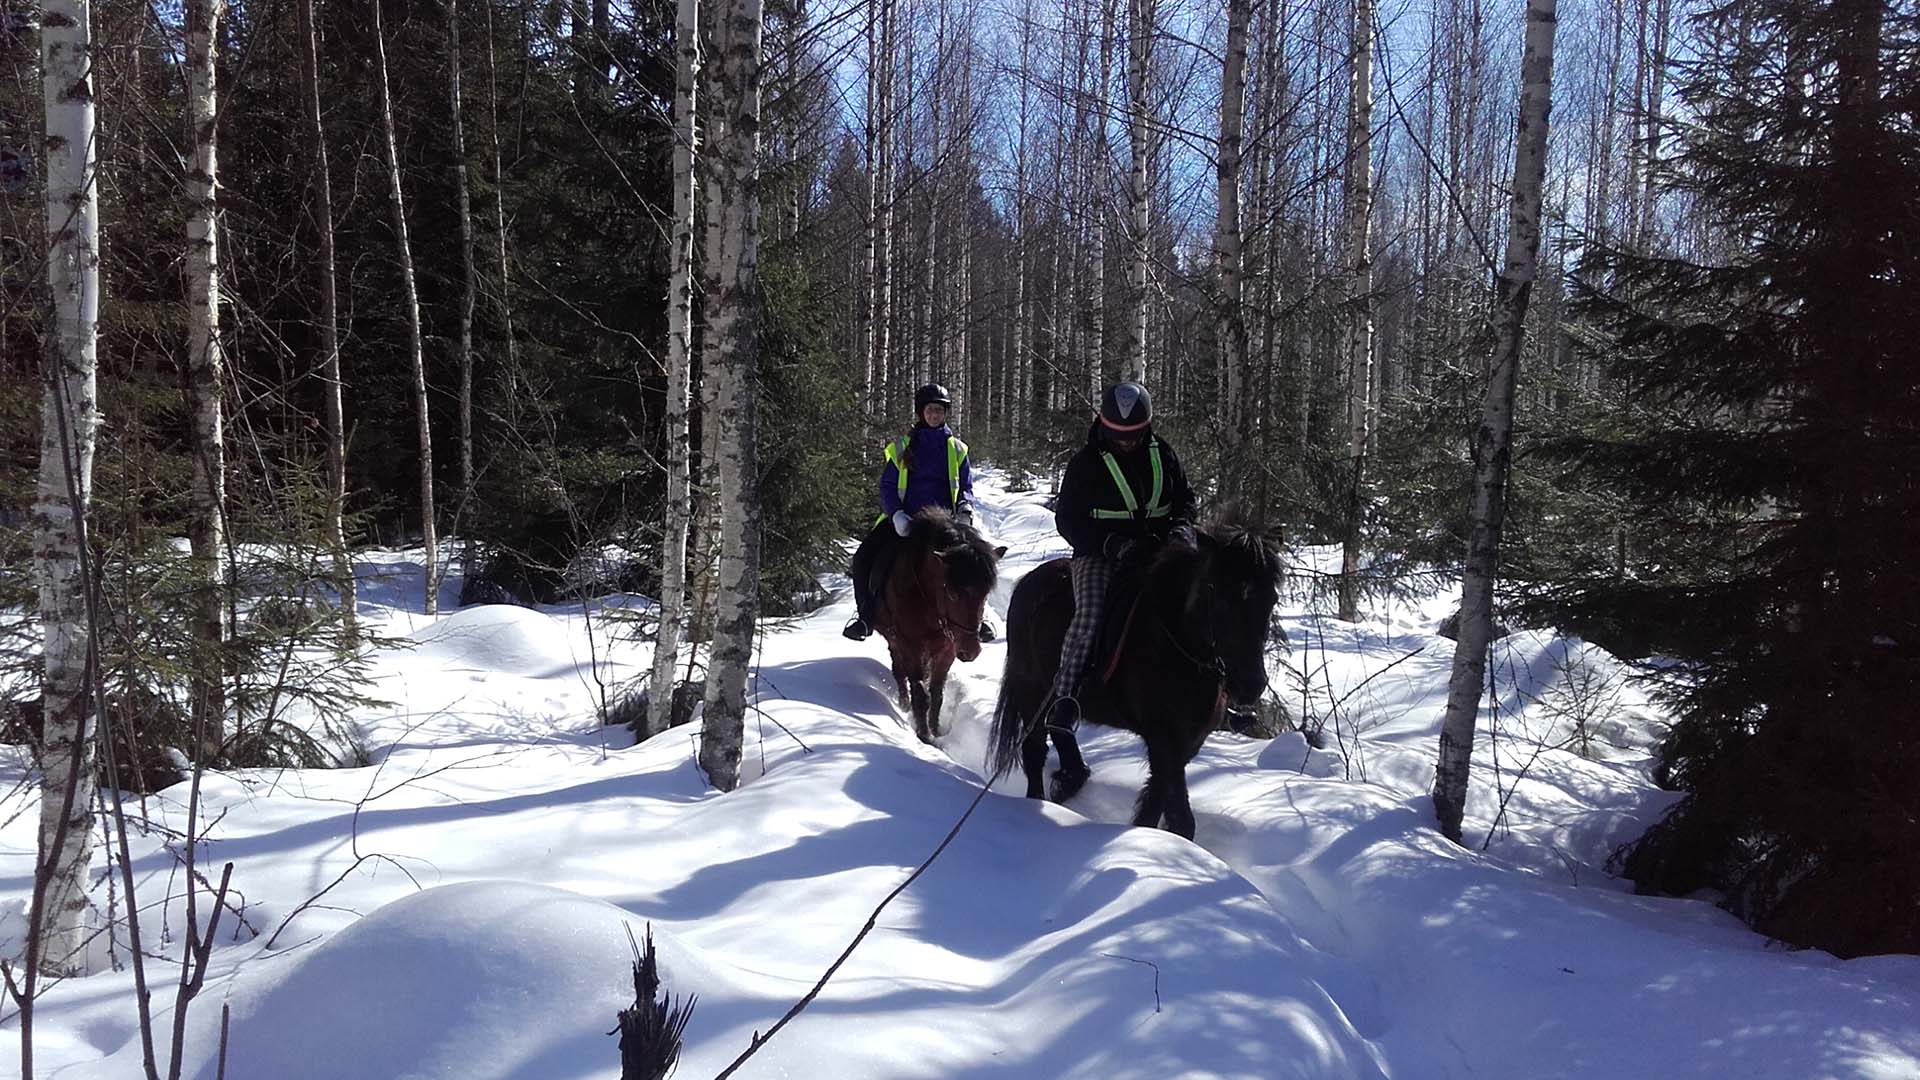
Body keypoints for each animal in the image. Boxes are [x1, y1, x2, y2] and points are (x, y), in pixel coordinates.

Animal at [870, 507, 1006, 744]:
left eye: (986, 593)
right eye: (952, 592)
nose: (970, 651)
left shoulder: (947, 649)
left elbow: (937, 693)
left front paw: (935, 730)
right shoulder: (910, 645)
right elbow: (921, 693)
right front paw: (924, 736)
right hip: (894, 639)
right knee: (899, 671)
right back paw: (904, 704)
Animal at [988, 525, 1282, 839]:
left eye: (1271, 600)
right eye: (1219, 596)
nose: (1250, 684)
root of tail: (1029, 582)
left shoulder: (1187, 743)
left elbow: (1170, 808)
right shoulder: (1163, 740)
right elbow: (1166, 812)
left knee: (1059, 730)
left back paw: (1069, 779)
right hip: (1032, 690)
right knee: (1034, 751)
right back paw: (1036, 803)